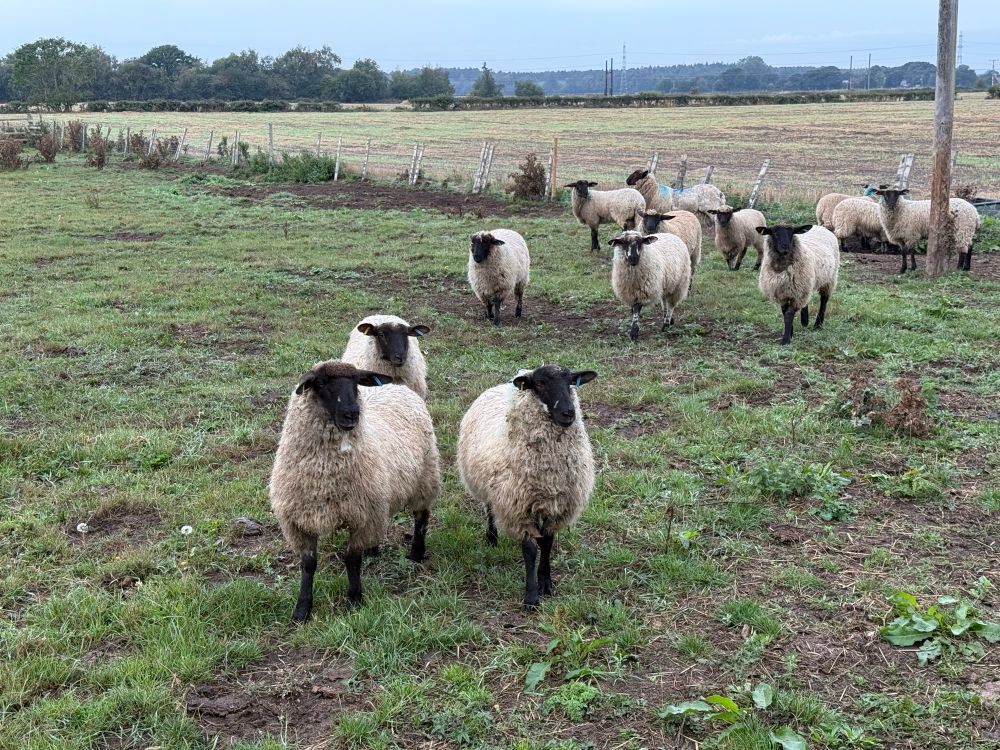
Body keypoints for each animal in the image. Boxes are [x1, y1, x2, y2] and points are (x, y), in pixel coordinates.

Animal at [269, 360, 441, 621]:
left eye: (356, 383)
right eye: (320, 383)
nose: (352, 413)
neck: (324, 476)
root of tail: (398, 386)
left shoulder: (362, 515)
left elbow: (351, 560)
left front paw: (355, 600)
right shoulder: (300, 520)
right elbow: (308, 565)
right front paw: (302, 609)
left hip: (425, 477)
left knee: (421, 516)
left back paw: (416, 553)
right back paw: (374, 549)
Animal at [457, 364, 597, 608]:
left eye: (571, 382)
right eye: (540, 383)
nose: (568, 413)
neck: (548, 475)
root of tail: (499, 386)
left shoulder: (556, 506)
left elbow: (547, 543)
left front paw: (546, 583)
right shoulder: (518, 506)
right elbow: (530, 550)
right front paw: (531, 596)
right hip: (488, 487)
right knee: (489, 509)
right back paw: (492, 538)